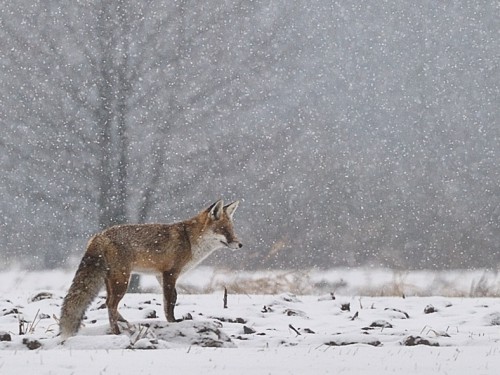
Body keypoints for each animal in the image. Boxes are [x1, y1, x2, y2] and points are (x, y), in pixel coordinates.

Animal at [58, 200, 242, 340]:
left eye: (232, 230)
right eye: (224, 230)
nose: (240, 245)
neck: (190, 240)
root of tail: (99, 235)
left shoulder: (160, 275)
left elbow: (173, 298)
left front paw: (174, 321)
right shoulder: (171, 273)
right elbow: (169, 302)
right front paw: (172, 322)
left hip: (112, 280)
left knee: (107, 302)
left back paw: (124, 322)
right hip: (122, 280)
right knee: (110, 304)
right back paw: (116, 332)